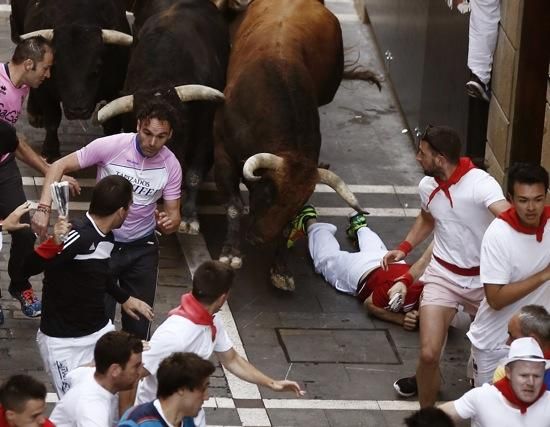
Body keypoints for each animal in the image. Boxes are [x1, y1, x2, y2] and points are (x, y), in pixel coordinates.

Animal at [10, 0, 133, 162]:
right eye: (56, 68)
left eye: (97, 68)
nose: (77, 110)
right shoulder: (45, 92)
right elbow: (52, 120)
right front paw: (50, 151)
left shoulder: (115, 90)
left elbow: (112, 124)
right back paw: (35, 114)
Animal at [213, 0, 368, 292]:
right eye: (267, 192)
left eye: (298, 203)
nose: (259, 238)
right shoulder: (223, 153)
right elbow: (234, 205)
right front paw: (231, 252)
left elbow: (288, 228)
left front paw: (281, 269)